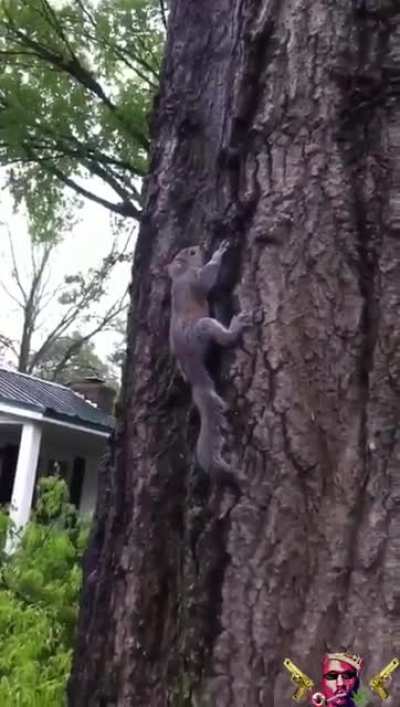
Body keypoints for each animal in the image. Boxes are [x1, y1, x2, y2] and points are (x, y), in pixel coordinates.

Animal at [168, 240, 250, 492]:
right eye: (192, 252)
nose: (201, 246)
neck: (181, 273)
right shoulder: (195, 281)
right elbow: (207, 279)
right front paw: (218, 254)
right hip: (202, 329)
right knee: (222, 337)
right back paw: (234, 328)